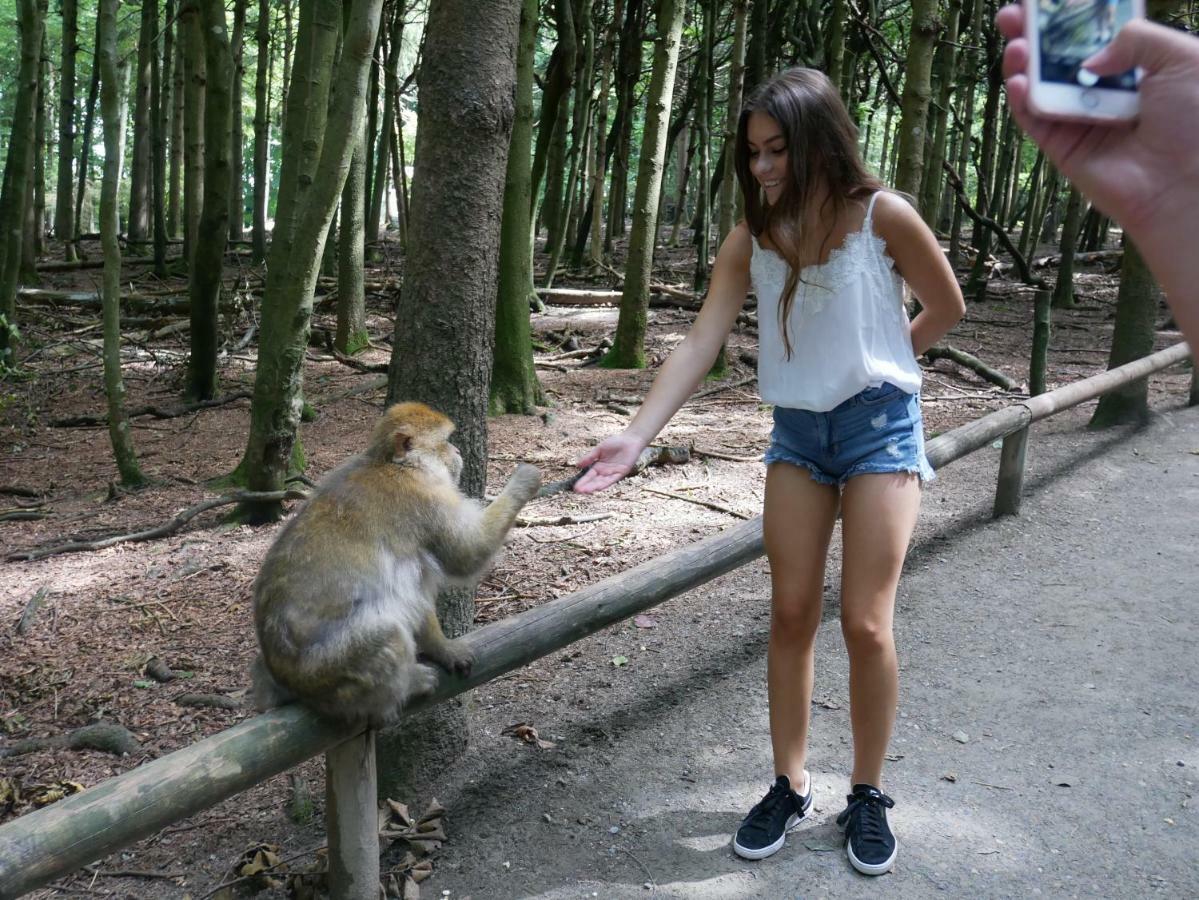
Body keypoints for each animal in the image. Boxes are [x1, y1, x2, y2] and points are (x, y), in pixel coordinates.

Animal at [252, 405, 544, 728]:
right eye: (446, 440)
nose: (456, 450)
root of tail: (288, 680)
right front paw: (525, 480)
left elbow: (417, 592)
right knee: (388, 633)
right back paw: (407, 686)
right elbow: (467, 553)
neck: (396, 464)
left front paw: (442, 647)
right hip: (330, 671)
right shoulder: (427, 497)